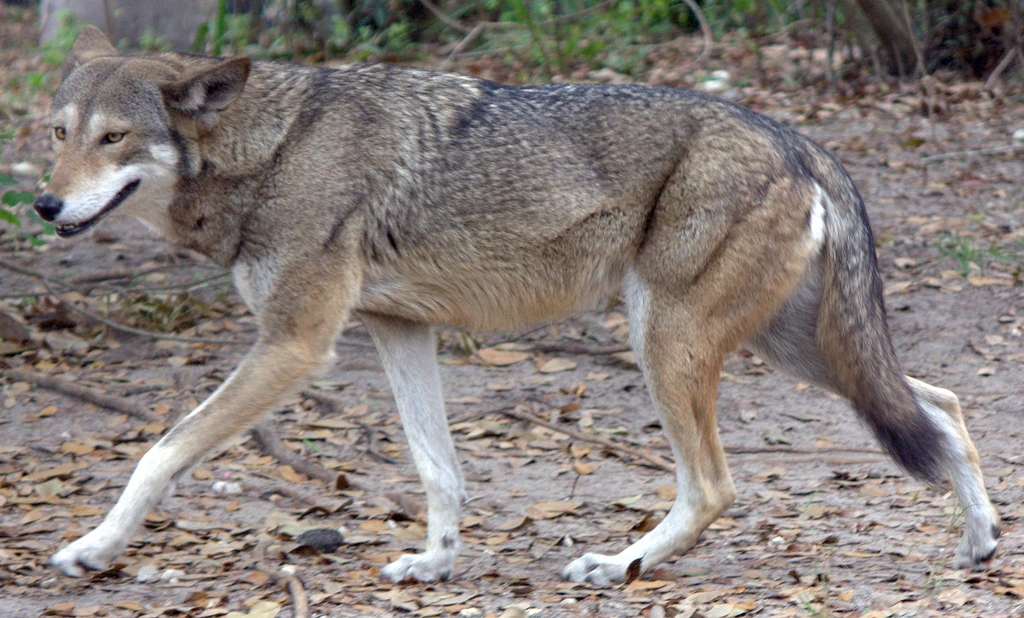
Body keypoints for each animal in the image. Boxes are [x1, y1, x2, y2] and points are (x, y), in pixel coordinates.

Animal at [36, 26, 998, 585]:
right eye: (56, 133)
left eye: (113, 138)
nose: (44, 205)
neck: (271, 151)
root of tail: (795, 137)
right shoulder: (397, 331)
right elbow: (438, 469)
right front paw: (435, 563)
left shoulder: (295, 344)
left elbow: (160, 451)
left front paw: (94, 549)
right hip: (791, 349)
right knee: (942, 404)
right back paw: (980, 543)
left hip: (670, 344)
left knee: (716, 485)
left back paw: (620, 564)